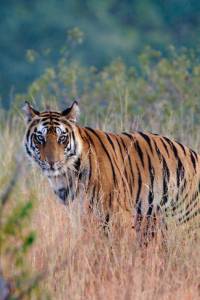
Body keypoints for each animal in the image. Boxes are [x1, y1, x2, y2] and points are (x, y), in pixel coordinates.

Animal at [23, 101, 200, 244]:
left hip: (184, 218)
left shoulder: (116, 214)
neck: (65, 176)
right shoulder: (79, 215)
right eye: (40, 138)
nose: (52, 162)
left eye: (62, 138)